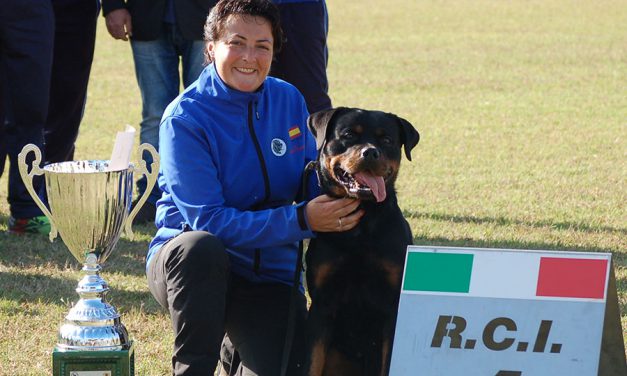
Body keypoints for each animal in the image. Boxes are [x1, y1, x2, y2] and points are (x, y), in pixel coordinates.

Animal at [302, 107, 420, 376]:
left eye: (386, 139)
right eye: (348, 135)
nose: (370, 152)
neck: (361, 229)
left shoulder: (393, 305)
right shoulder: (322, 304)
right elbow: (311, 363)